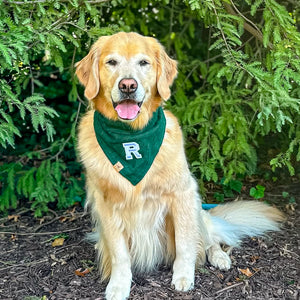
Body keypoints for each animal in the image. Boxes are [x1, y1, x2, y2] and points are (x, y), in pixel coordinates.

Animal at [75, 31, 284, 298]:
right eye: (111, 62)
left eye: (143, 63)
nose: (128, 85)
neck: (131, 138)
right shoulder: (107, 205)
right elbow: (120, 254)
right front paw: (119, 285)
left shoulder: (182, 194)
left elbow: (186, 244)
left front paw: (184, 277)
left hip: (196, 206)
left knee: (208, 240)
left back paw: (219, 257)